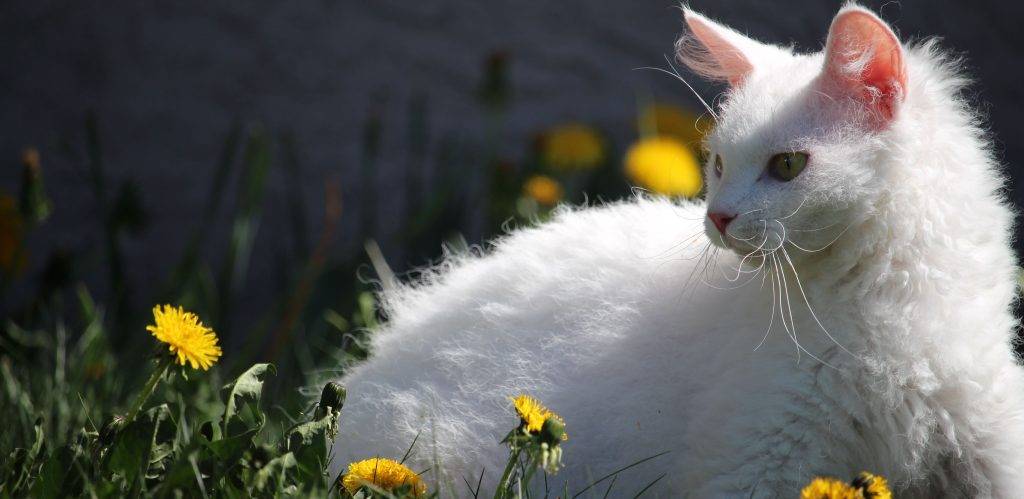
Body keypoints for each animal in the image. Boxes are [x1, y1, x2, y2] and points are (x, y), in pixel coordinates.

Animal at [333, 3, 1024, 495]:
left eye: (788, 165)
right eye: (717, 163)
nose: (716, 218)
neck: (887, 301)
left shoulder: (990, 442)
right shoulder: (759, 460)